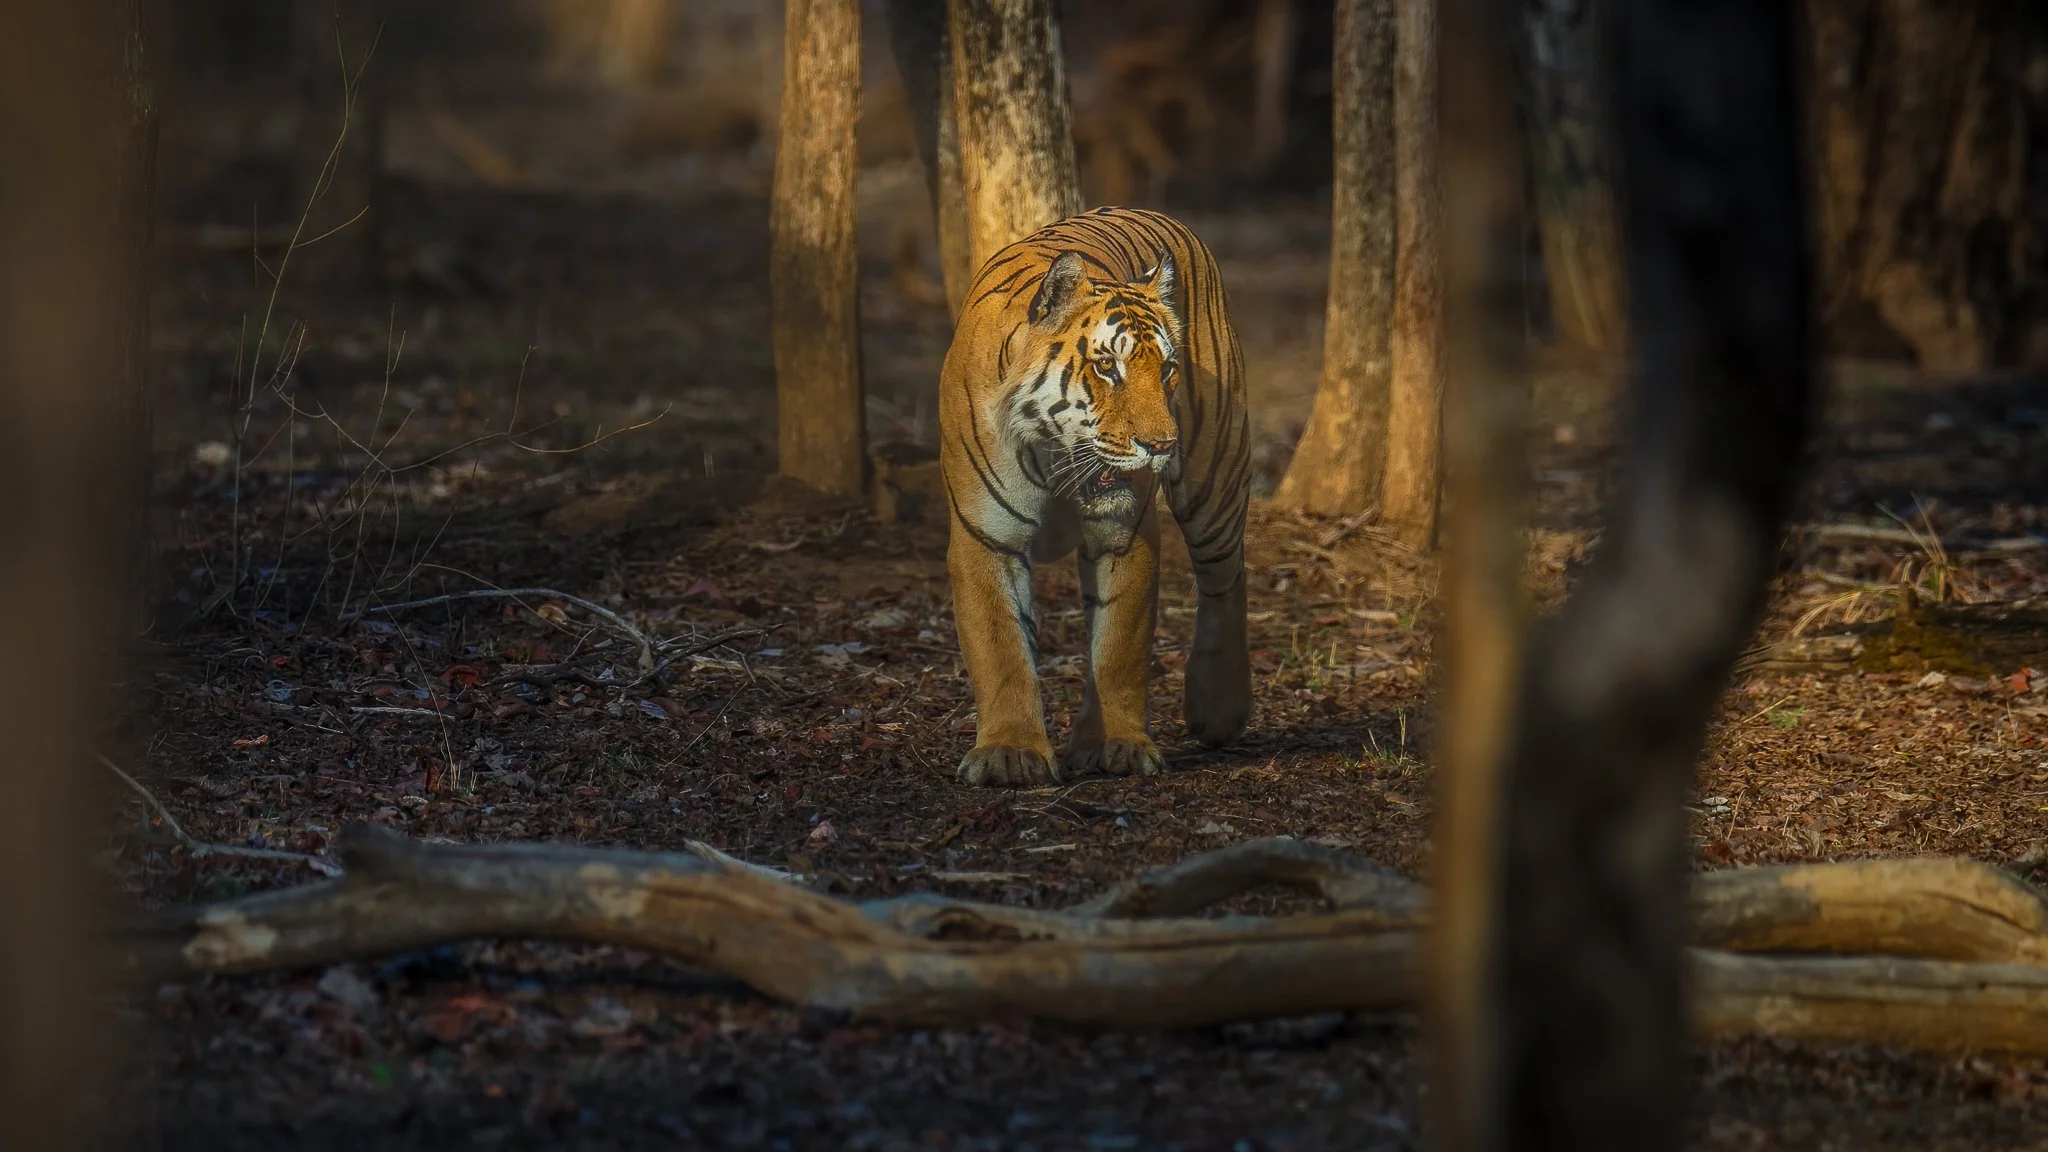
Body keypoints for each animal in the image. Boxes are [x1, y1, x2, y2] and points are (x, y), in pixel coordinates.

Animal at [939, 205, 1253, 787]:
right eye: (1108, 367)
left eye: (1168, 370)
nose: (1162, 446)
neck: (1053, 453)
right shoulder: (986, 535)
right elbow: (1000, 649)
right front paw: (1009, 754)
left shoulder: (1124, 533)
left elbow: (1119, 647)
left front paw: (1118, 746)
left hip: (1215, 476)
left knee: (1226, 578)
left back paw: (1219, 709)